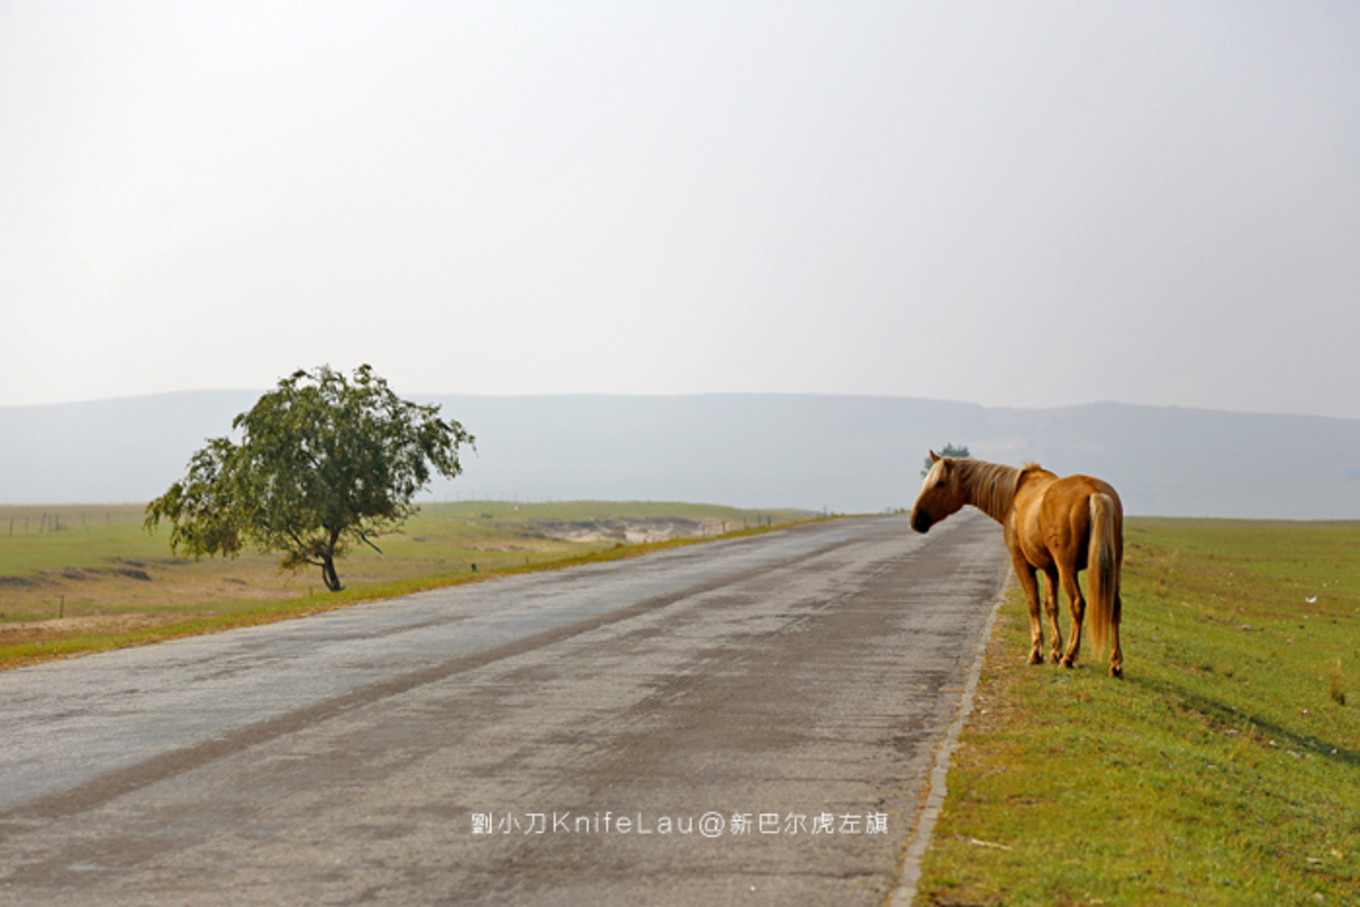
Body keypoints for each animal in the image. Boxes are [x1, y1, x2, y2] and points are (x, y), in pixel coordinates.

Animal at [913, 451, 1126, 677]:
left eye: (940, 483)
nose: (916, 519)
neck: (1013, 496)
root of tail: (1095, 493)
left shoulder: (1022, 563)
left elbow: (1033, 604)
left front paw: (1036, 654)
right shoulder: (1051, 570)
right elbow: (1051, 606)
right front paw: (1054, 652)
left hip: (1067, 568)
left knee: (1077, 604)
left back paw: (1069, 658)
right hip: (1111, 568)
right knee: (1115, 606)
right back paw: (1115, 664)